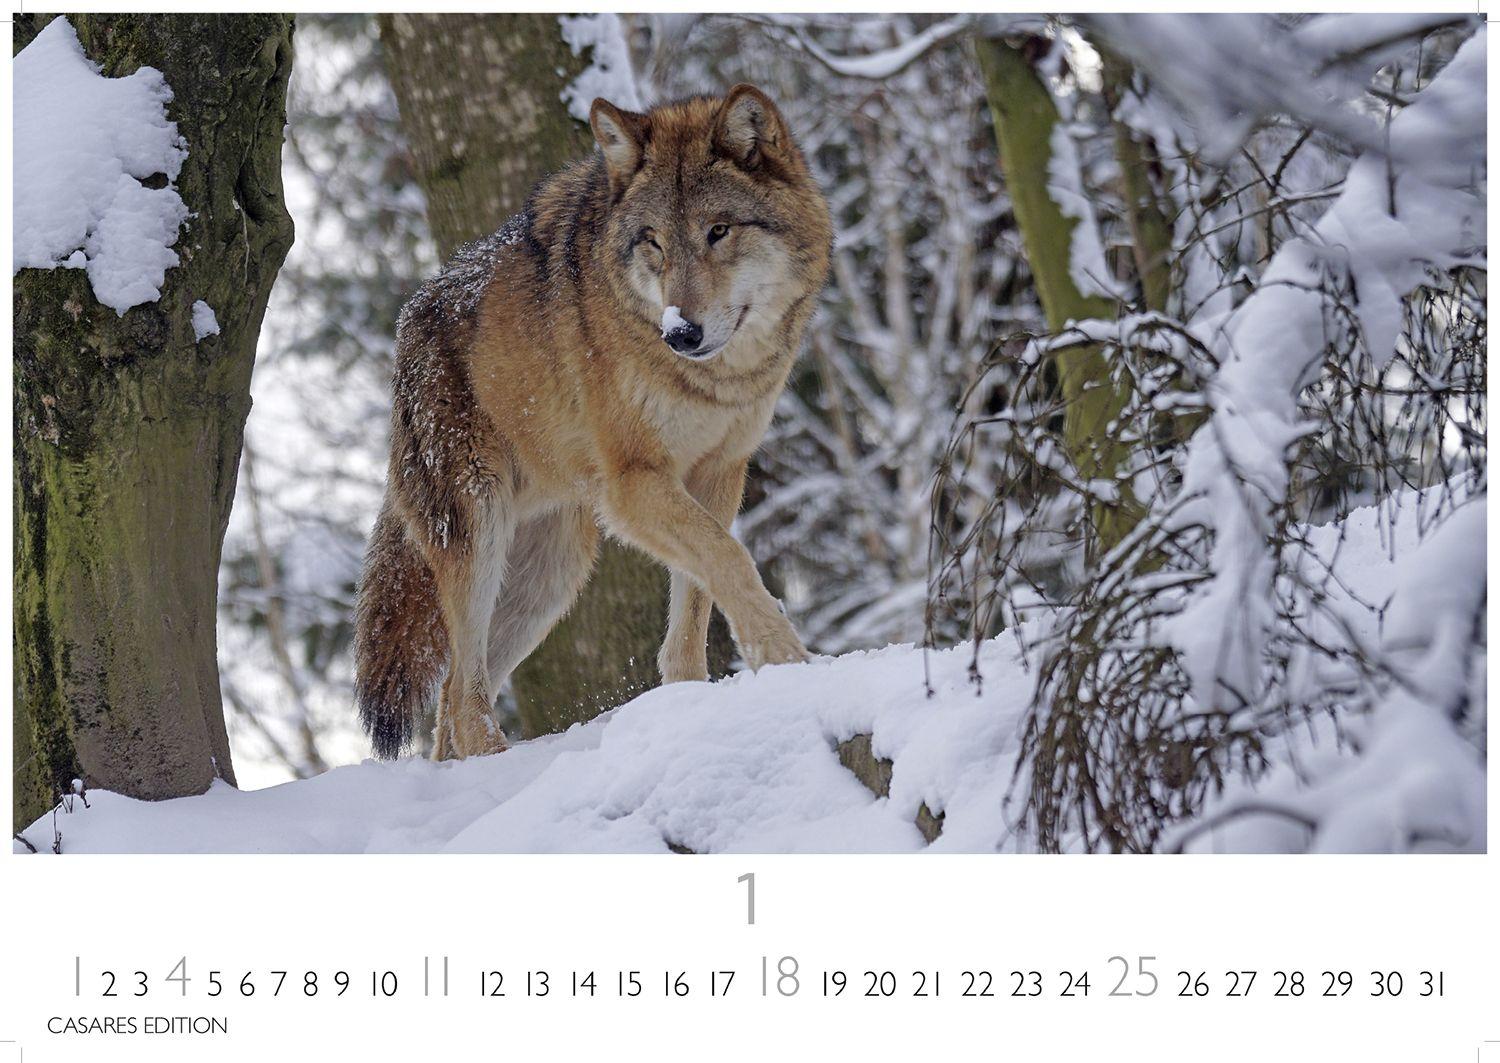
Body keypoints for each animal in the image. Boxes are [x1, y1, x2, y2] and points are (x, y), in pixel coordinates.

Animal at [353, 84, 833, 761]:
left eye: (718, 231)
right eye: (653, 240)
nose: (681, 333)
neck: (715, 382)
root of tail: (406, 325)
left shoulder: (719, 473)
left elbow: (697, 599)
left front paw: (692, 702)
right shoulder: (634, 483)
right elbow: (732, 559)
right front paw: (786, 660)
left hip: (551, 576)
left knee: (451, 703)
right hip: (480, 536)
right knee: (462, 695)